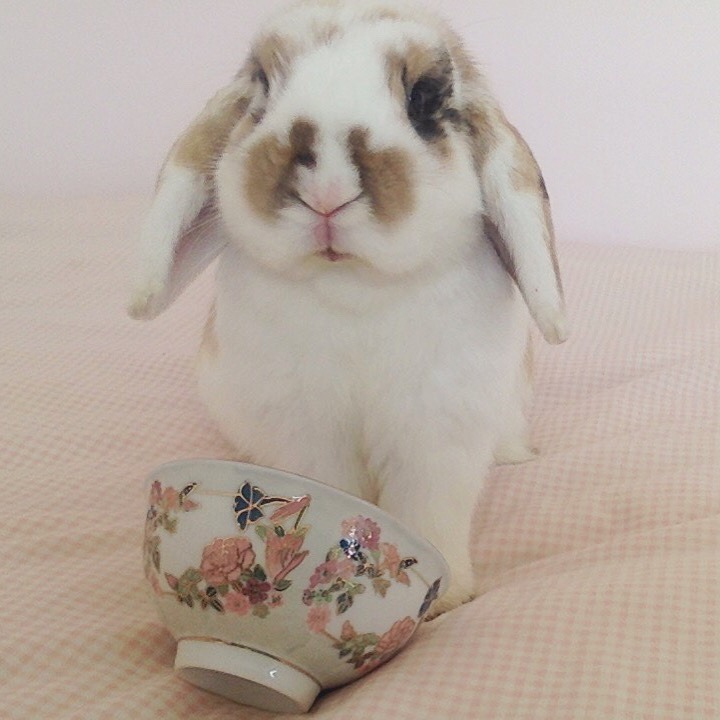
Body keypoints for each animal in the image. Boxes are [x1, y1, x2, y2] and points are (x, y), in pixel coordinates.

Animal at [128, 0, 567, 616]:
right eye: (263, 86)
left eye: (424, 97)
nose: (326, 192)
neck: (352, 287)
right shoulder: (306, 431)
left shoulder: (435, 434)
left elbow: (431, 515)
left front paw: (448, 596)